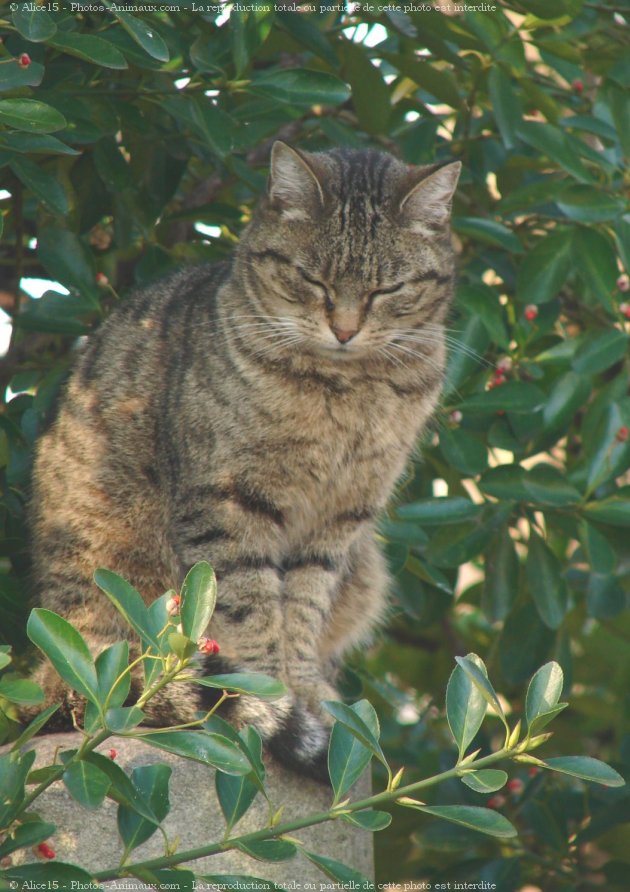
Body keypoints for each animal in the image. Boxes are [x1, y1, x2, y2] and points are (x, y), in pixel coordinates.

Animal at [29, 143, 462, 776]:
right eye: (311, 279)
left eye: (387, 290)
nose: (345, 329)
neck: (346, 386)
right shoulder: (229, 502)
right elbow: (251, 606)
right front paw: (271, 692)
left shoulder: (342, 516)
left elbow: (302, 607)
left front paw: (305, 688)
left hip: (366, 570)